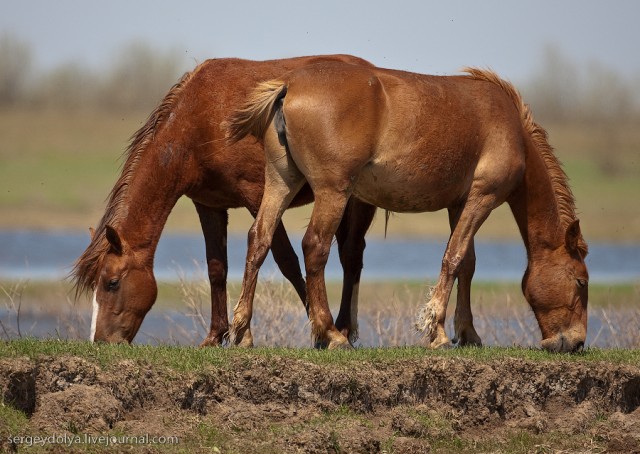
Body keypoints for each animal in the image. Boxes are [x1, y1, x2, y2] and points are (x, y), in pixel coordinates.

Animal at [71, 56, 380, 348]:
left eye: (112, 283)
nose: (101, 340)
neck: (197, 123)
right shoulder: (209, 206)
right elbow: (217, 268)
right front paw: (217, 335)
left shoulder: (258, 196)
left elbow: (285, 261)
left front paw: (318, 332)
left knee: (351, 257)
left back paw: (343, 328)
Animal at [225, 61, 592, 352]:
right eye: (581, 281)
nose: (576, 342)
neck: (509, 126)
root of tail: (289, 87)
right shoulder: (482, 197)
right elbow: (454, 257)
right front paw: (437, 331)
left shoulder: (460, 204)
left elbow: (468, 264)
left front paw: (468, 333)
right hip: (333, 192)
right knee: (314, 246)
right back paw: (331, 334)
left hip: (281, 182)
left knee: (259, 239)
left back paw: (242, 330)